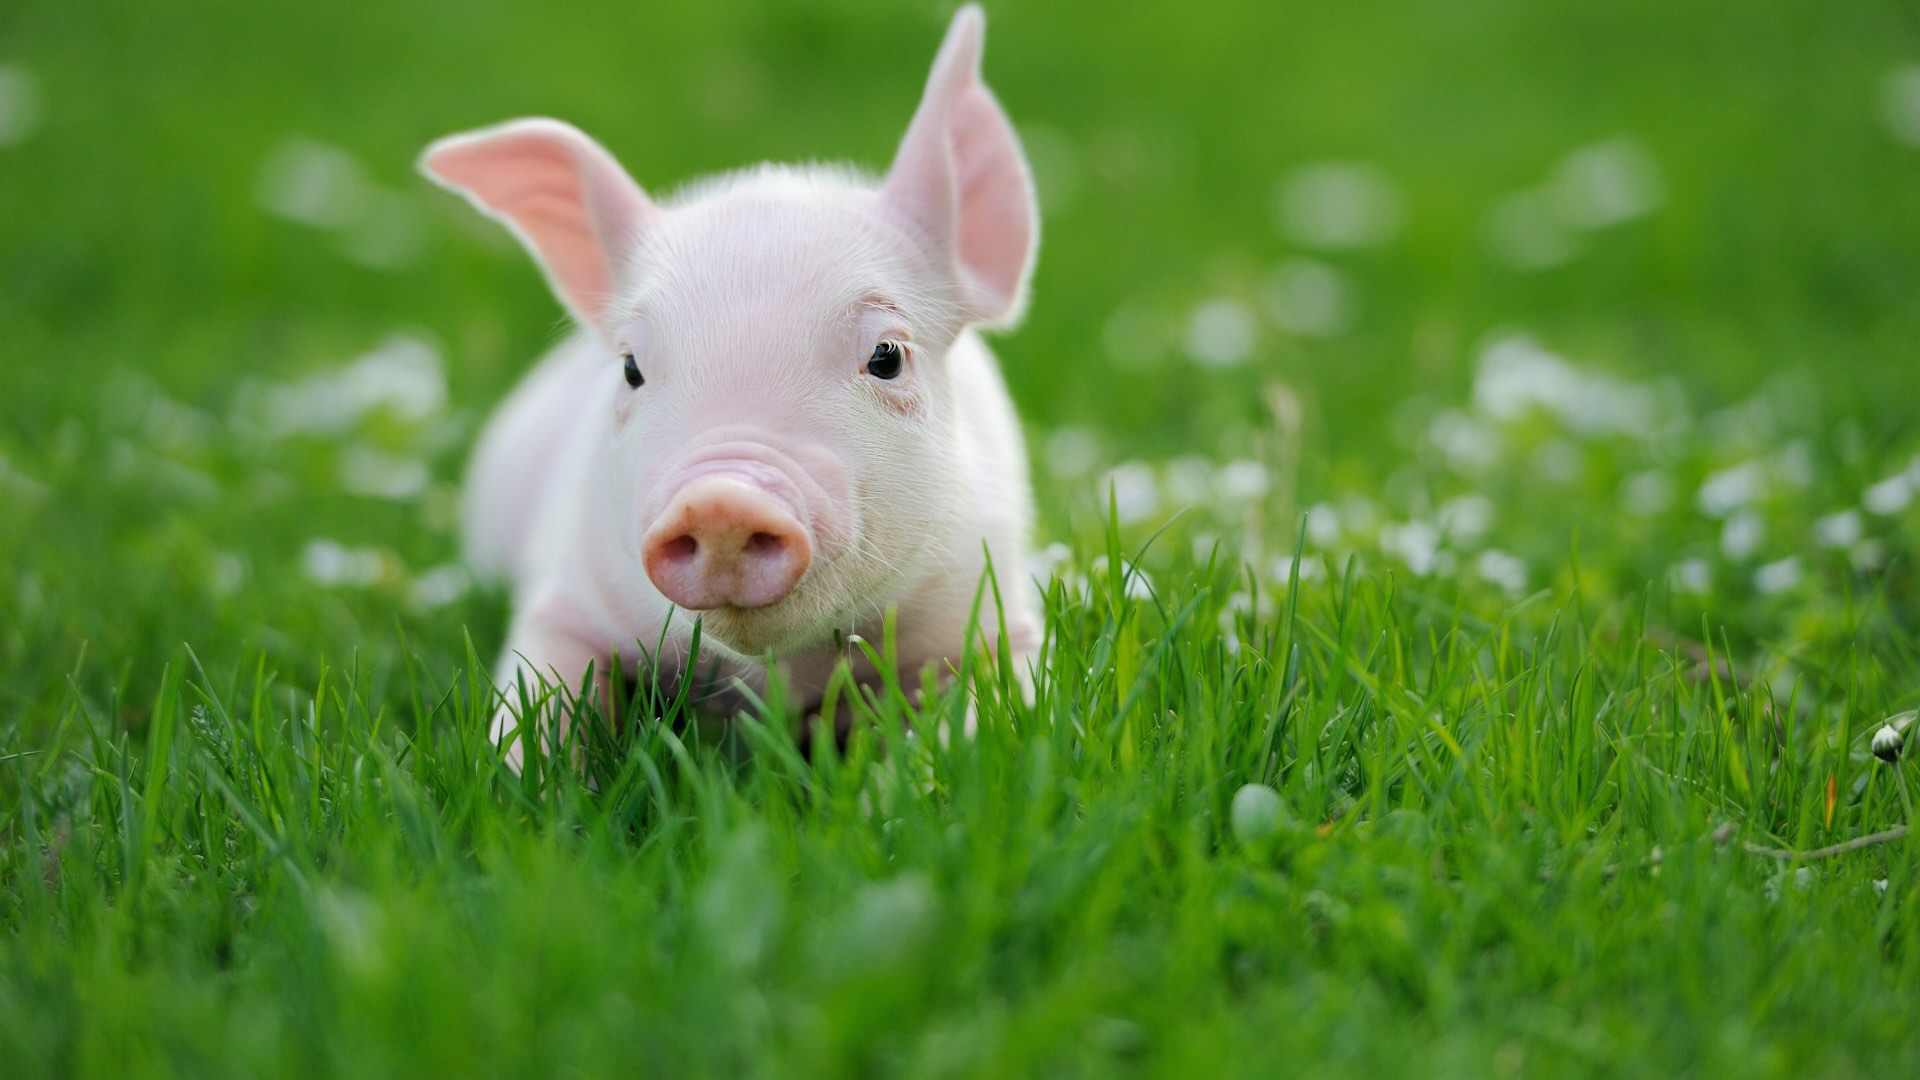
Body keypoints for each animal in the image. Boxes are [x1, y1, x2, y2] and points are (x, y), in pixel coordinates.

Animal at [419, 5, 1039, 765]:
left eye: (887, 356)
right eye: (631, 368)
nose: (721, 501)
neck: (777, 681)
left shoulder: (996, 605)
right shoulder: (565, 590)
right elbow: (536, 701)